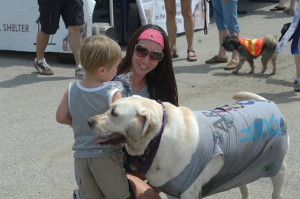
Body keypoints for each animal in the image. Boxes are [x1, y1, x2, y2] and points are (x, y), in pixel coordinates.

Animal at [88, 92, 288, 199]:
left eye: (114, 113)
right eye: (109, 108)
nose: (89, 122)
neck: (156, 139)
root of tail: (267, 101)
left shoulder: (188, 192)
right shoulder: (172, 190)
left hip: (277, 168)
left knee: (276, 190)